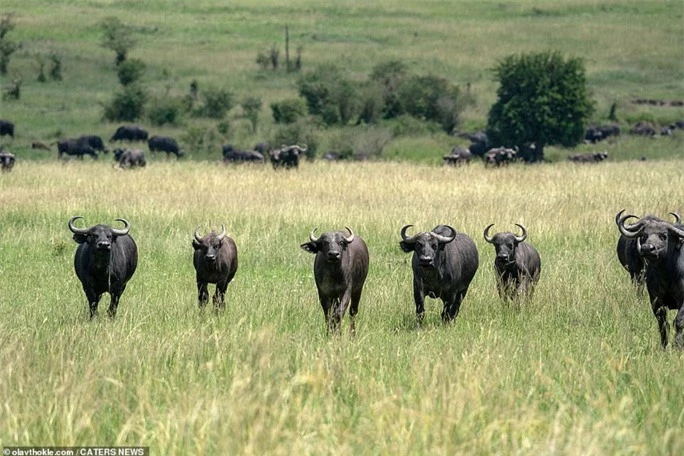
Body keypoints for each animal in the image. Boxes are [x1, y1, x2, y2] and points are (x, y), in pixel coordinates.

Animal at [616, 210, 684, 350]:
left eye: (664, 235)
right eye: (644, 235)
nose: (647, 248)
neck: (668, 276)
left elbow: (679, 321)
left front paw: (677, 344)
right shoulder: (655, 300)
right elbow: (663, 324)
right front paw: (664, 346)